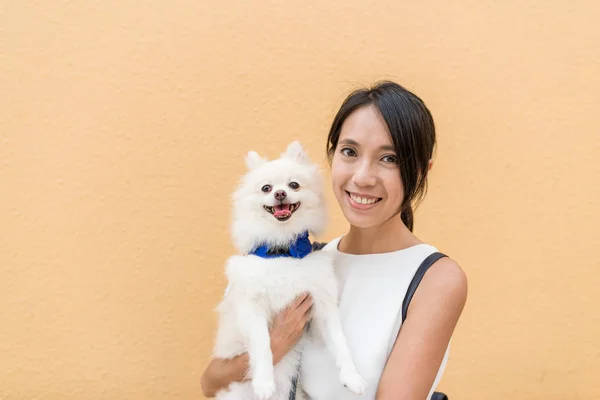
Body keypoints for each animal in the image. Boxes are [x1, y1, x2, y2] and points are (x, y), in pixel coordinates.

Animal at [212, 141, 366, 400]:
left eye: (294, 185)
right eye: (266, 188)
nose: (280, 193)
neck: (283, 250)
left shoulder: (321, 305)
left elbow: (339, 341)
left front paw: (352, 376)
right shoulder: (252, 307)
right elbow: (263, 344)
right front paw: (264, 383)